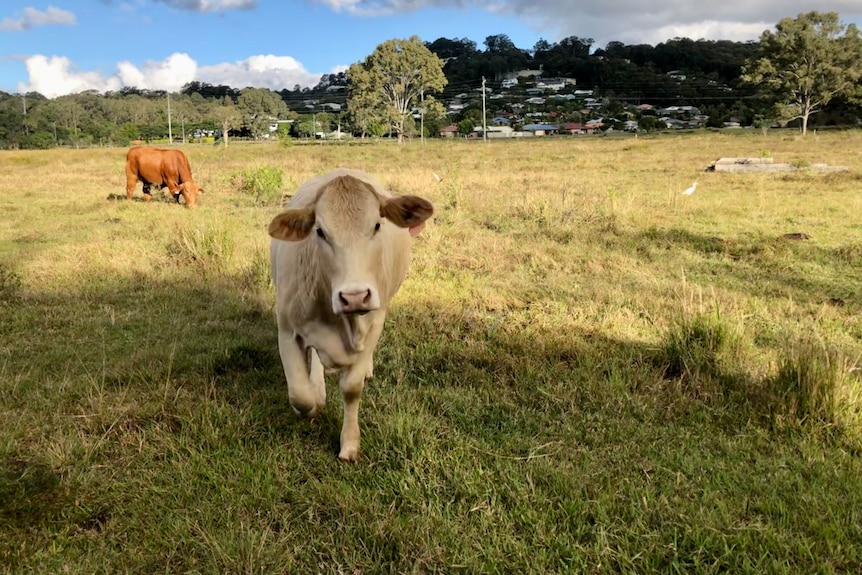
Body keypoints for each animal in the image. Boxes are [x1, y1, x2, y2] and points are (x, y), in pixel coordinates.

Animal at [268, 169, 436, 462]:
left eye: (377, 225)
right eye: (320, 231)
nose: (355, 296)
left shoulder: (374, 322)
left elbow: (351, 389)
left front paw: (349, 444)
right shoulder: (287, 329)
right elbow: (300, 395)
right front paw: (314, 401)